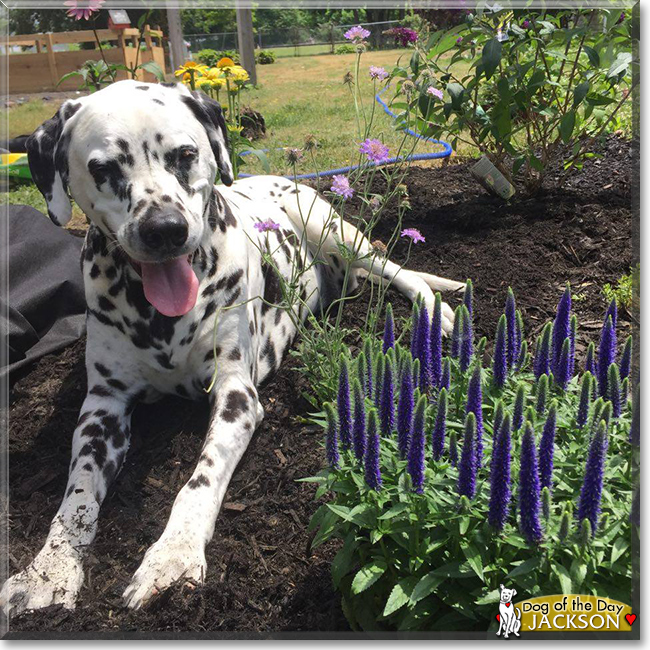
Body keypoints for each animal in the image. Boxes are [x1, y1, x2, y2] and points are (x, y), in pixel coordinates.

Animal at [2, 79, 464, 612]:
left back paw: (434, 309)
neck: (159, 318)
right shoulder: (102, 407)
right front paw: (50, 567)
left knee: (402, 272)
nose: (165, 229)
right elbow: (76, 496)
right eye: (103, 168)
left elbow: (198, 480)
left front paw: (173, 553)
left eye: (185, 154)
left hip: (338, 235)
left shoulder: (236, 396)